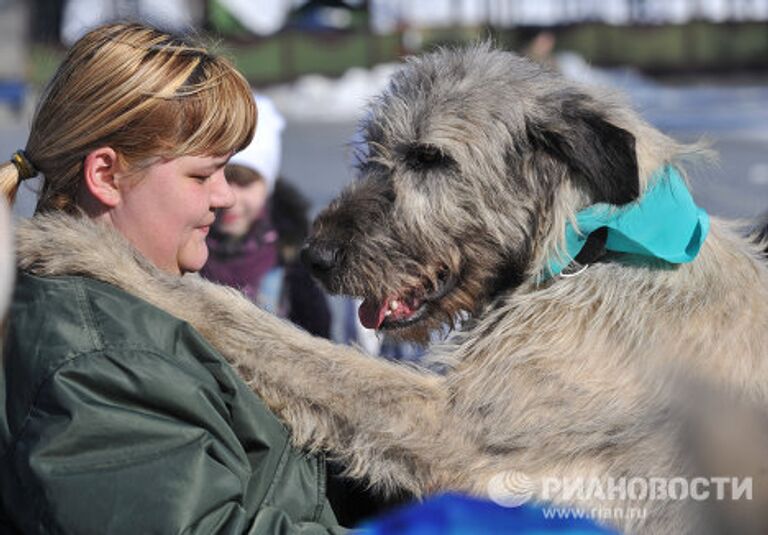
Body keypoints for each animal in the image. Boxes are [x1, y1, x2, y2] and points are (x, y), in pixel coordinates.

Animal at [16, 44, 768, 532]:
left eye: (431, 158)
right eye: (372, 150)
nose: (315, 255)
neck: (590, 245)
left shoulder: (459, 432)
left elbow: (270, 335)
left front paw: (90, 248)